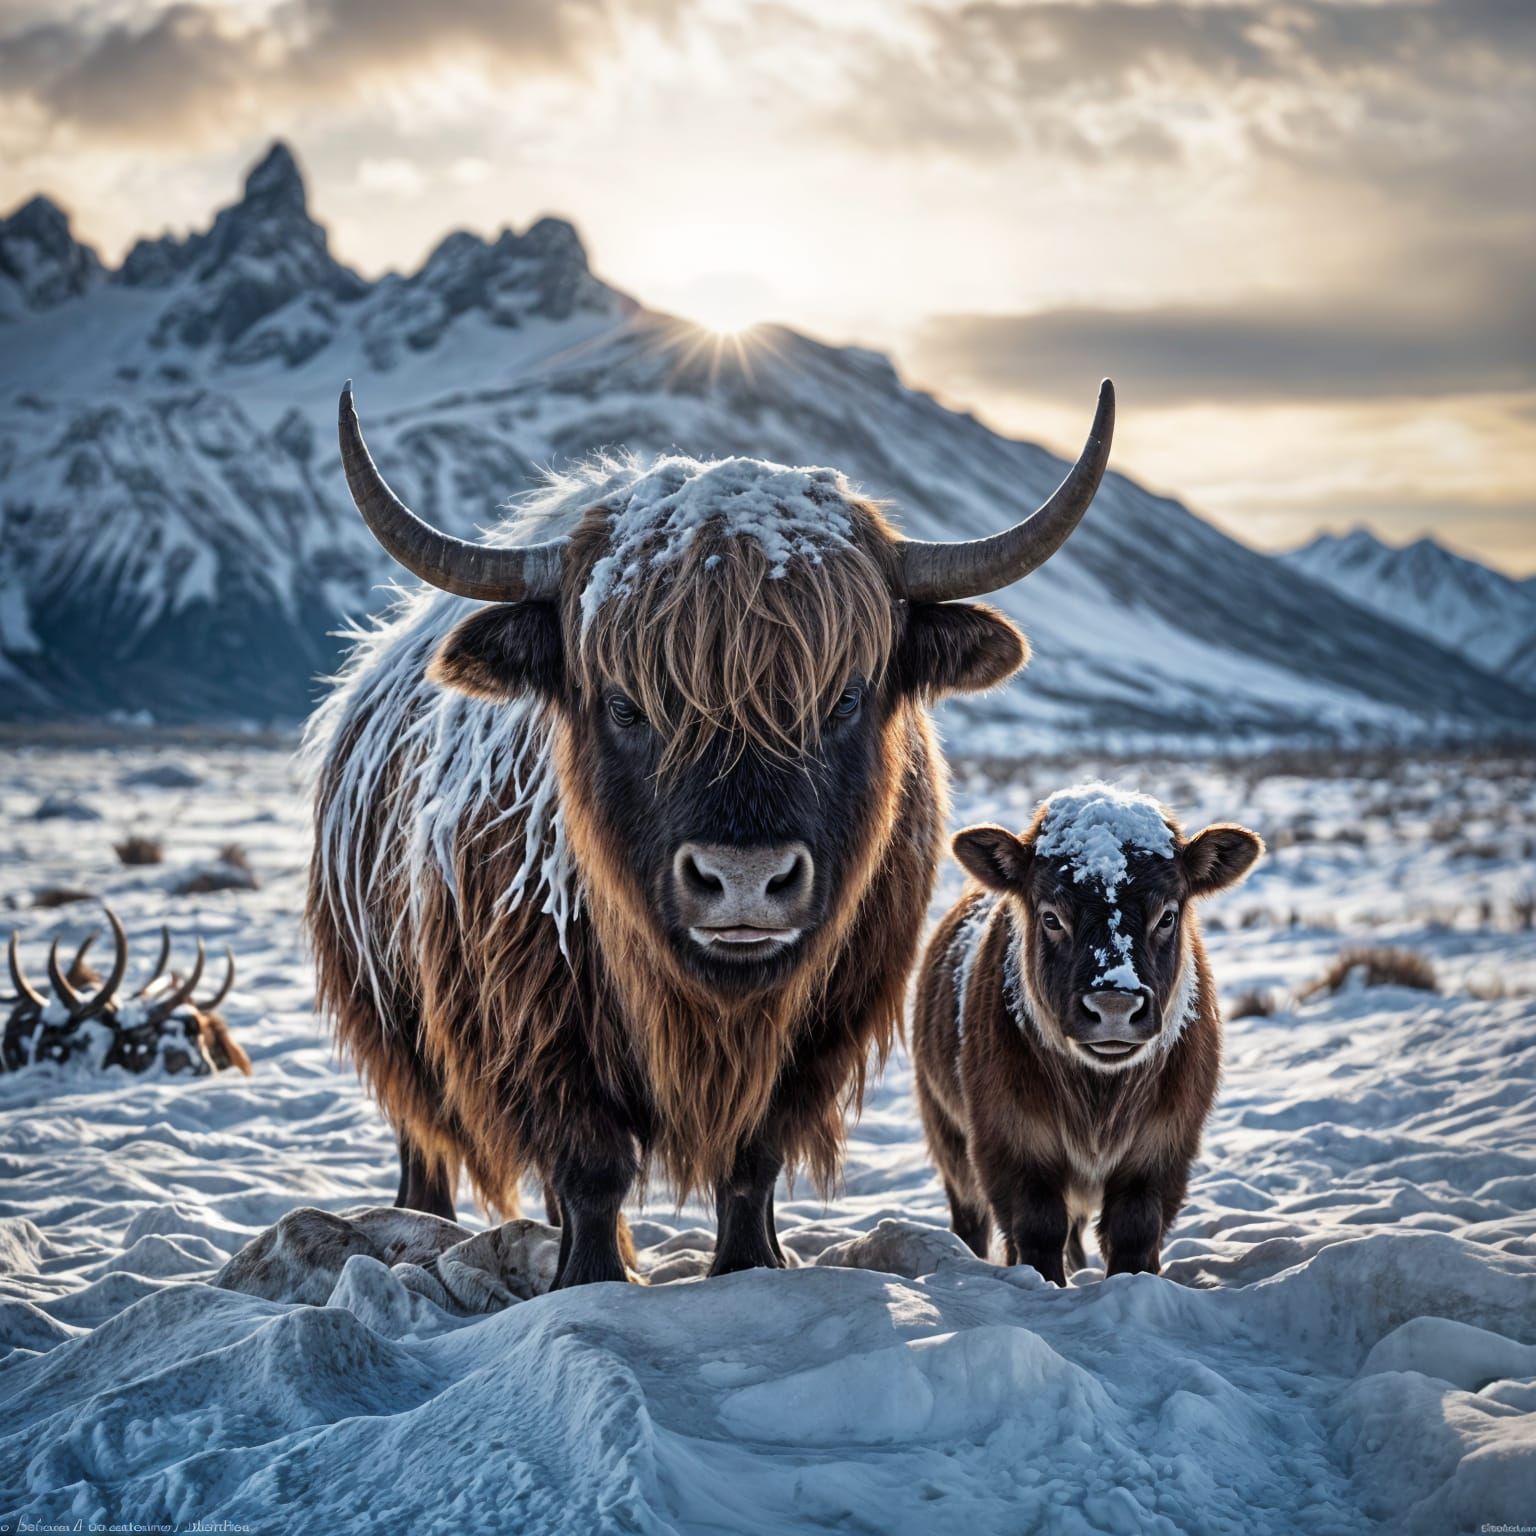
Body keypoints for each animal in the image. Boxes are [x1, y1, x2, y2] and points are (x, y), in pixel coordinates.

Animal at [305, 379, 1114, 1289]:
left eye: (846, 696)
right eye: (623, 703)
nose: (743, 882)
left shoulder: (818, 1032)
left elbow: (752, 1158)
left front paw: (750, 1264)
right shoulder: (537, 1030)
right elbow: (591, 1165)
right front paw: (590, 1278)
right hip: (394, 1024)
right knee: (427, 1141)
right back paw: (426, 1222)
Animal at [912, 784, 1262, 1282]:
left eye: (1167, 915)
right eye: (1051, 916)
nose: (1114, 1005)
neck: (1100, 1099)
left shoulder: (1162, 1152)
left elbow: (1134, 1232)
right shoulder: (1011, 1146)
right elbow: (1038, 1230)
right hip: (948, 1133)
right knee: (971, 1216)